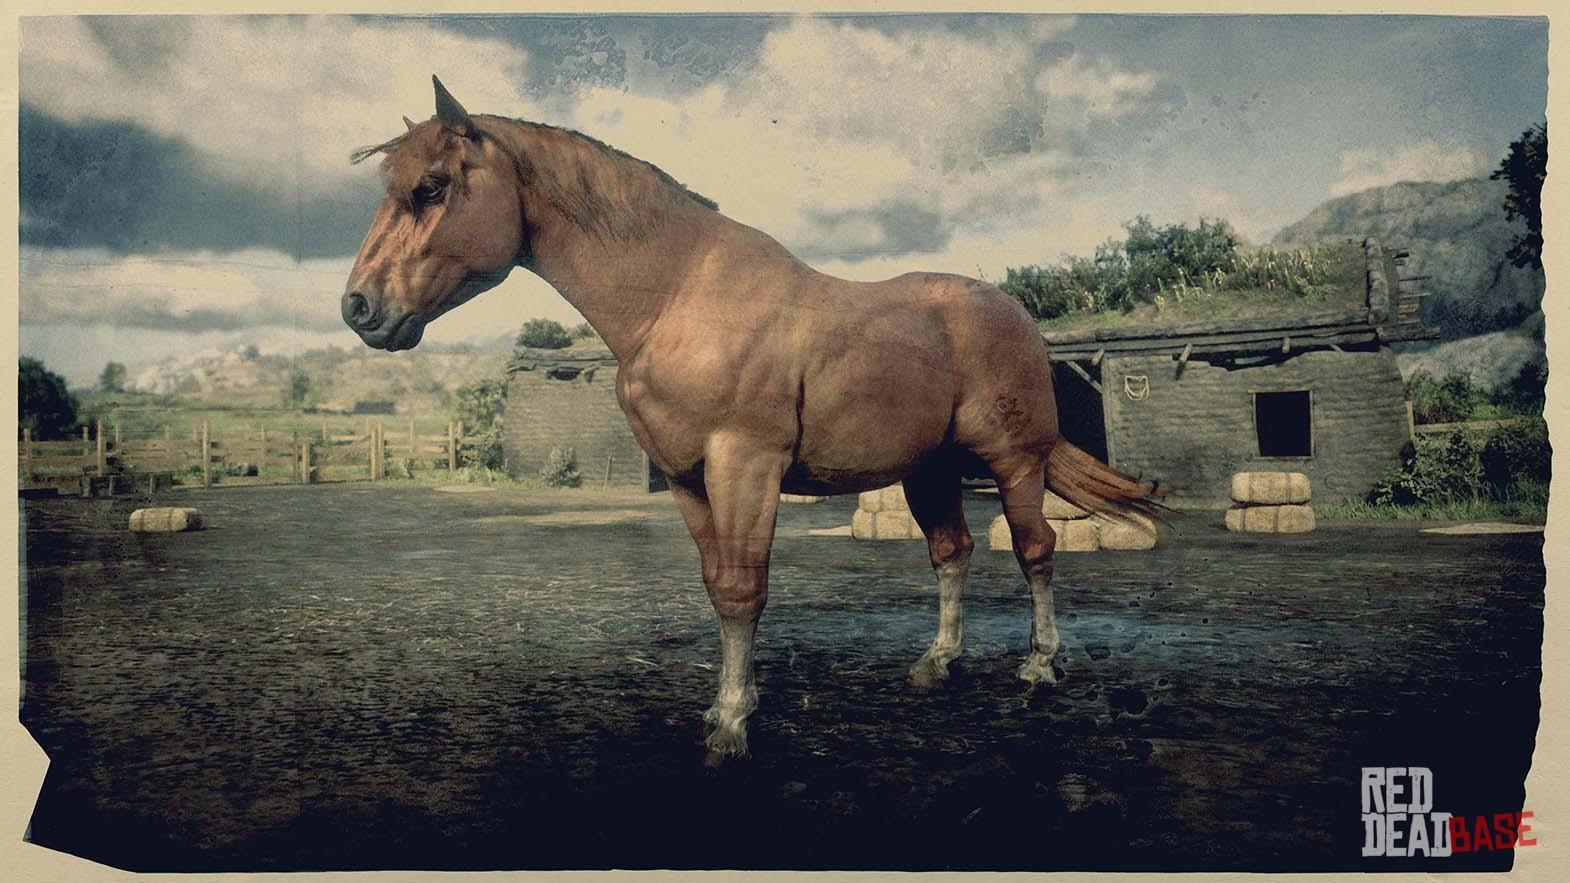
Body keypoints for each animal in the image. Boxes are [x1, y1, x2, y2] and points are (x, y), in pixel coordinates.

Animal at [344, 76, 1162, 763]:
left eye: (430, 186)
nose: (359, 307)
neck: (677, 297)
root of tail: (1013, 314)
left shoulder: (745, 465)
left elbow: (743, 589)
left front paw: (733, 724)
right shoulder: (686, 479)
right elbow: (717, 584)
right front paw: (726, 706)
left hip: (1015, 462)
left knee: (1035, 549)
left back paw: (1041, 664)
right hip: (928, 470)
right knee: (953, 552)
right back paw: (937, 662)